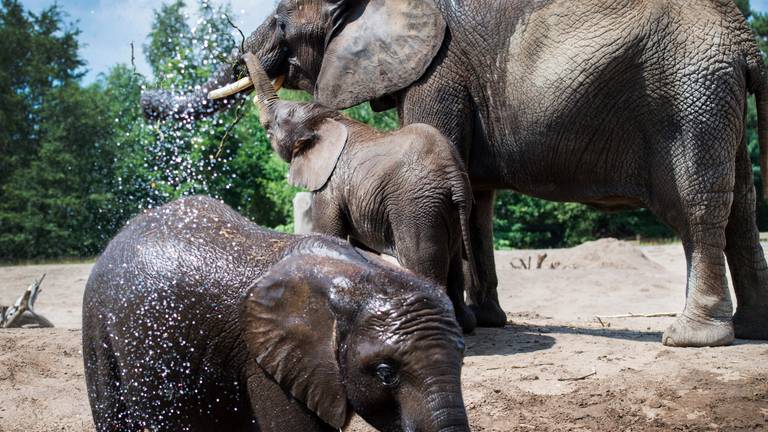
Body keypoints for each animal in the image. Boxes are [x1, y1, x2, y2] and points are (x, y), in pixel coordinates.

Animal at [243, 54, 476, 334]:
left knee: (421, 262)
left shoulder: (330, 185)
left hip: (416, 207)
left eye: (273, 126)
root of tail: (454, 176)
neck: (329, 120)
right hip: (449, 208)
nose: (241, 55)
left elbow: (329, 234)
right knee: (454, 263)